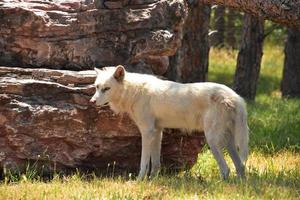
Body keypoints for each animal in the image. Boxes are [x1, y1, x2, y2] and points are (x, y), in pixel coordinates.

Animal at [90, 65, 250, 180]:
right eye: (97, 87)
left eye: (106, 89)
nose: (92, 101)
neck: (133, 91)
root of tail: (236, 98)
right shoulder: (157, 132)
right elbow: (155, 163)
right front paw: (152, 181)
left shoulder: (147, 132)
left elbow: (143, 163)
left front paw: (139, 181)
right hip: (228, 142)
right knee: (240, 167)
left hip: (212, 141)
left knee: (226, 169)